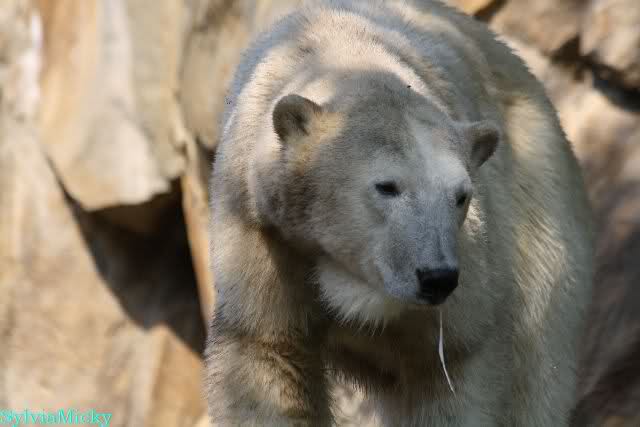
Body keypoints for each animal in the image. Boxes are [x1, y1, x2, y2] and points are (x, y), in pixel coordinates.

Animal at [204, 0, 594, 425]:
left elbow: (451, 364)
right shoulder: (261, 230)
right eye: (387, 186)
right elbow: (269, 354)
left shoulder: (467, 265)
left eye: (461, 196)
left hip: (539, 209)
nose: (436, 277)